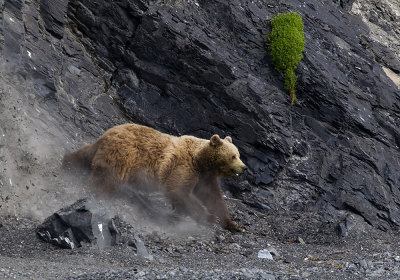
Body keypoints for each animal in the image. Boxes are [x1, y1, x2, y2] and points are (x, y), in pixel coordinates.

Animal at [62, 123, 245, 231]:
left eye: (238, 154)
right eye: (233, 156)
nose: (243, 167)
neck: (201, 161)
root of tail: (108, 133)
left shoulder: (205, 178)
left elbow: (213, 197)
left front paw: (233, 224)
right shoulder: (183, 167)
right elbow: (178, 190)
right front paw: (208, 217)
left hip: (103, 150)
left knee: (84, 155)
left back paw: (67, 163)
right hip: (123, 155)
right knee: (107, 178)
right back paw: (92, 194)